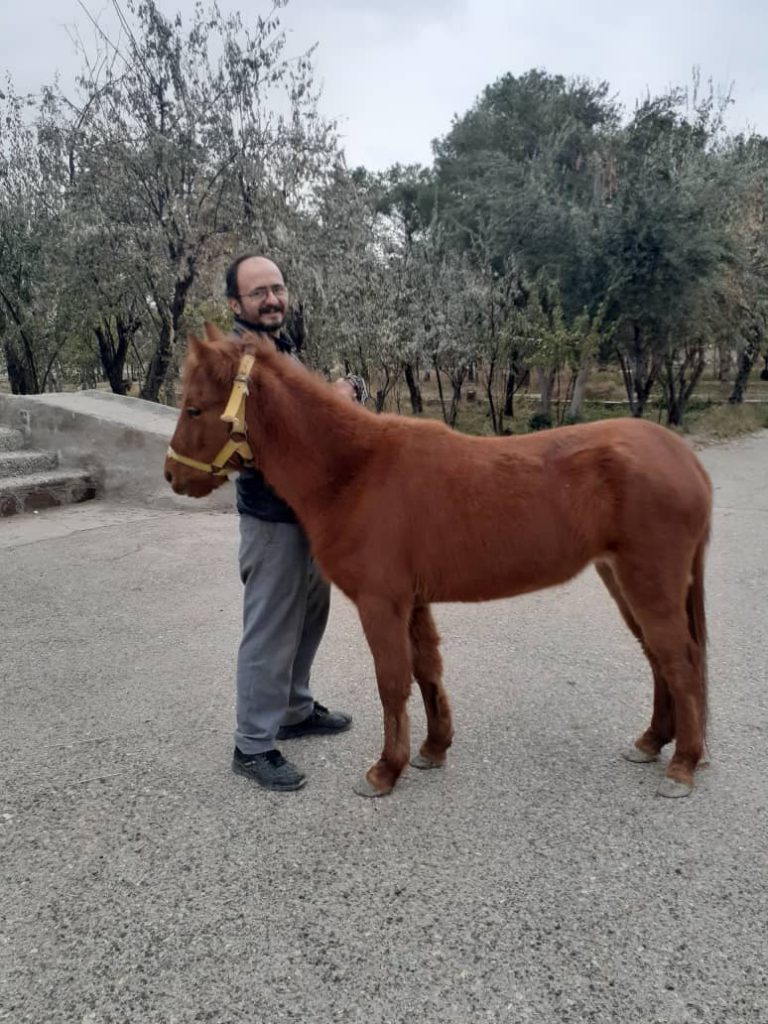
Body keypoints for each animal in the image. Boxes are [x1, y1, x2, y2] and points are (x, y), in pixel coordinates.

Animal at [166, 325, 716, 798]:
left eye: (194, 409)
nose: (172, 475)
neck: (355, 472)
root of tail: (685, 459)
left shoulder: (381, 602)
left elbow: (393, 682)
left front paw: (385, 770)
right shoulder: (412, 601)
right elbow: (427, 670)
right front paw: (432, 749)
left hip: (649, 583)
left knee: (680, 661)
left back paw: (682, 764)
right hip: (623, 580)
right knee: (658, 658)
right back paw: (652, 742)